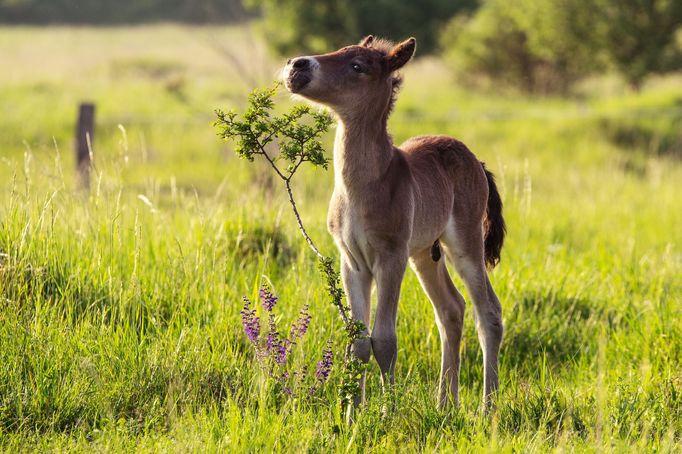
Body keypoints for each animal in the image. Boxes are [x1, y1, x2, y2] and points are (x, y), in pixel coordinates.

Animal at [282, 33, 504, 406]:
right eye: (339, 50)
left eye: (358, 66)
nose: (297, 65)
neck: (364, 187)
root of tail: (476, 161)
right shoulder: (353, 262)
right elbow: (358, 343)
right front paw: (352, 413)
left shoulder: (391, 257)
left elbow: (384, 340)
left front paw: (388, 411)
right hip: (425, 253)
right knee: (452, 309)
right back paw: (446, 405)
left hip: (464, 243)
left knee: (487, 311)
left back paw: (488, 407)